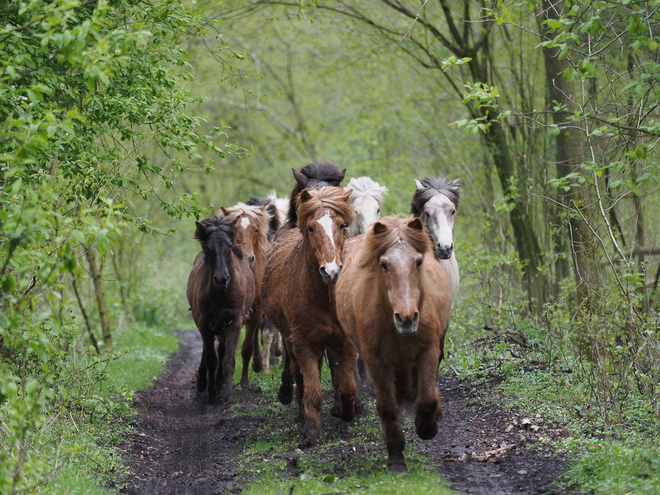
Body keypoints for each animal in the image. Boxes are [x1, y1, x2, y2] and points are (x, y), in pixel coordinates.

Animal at [188, 216, 258, 404]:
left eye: (229, 247)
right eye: (208, 248)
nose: (221, 279)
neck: (220, 293)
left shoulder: (234, 322)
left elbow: (228, 360)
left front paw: (228, 395)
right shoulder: (204, 323)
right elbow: (211, 359)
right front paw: (212, 393)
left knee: (222, 351)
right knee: (208, 351)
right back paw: (204, 382)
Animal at [220, 203, 272, 390]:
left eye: (256, 230)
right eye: (233, 230)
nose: (248, 258)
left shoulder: (256, 310)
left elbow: (247, 347)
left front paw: (244, 383)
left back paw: (257, 364)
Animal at [262, 185, 358, 446]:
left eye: (342, 226)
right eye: (312, 228)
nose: (331, 271)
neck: (324, 297)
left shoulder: (345, 342)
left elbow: (347, 387)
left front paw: (346, 412)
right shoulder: (303, 342)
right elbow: (313, 391)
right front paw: (312, 432)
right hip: (290, 339)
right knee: (298, 375)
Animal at [336, 217, 454, 472]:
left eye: (418, 261)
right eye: (384, 265)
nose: (407, 318)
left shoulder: (428, 351)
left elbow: (427, 397)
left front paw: (427, 427)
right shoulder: (376, 361)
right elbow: (388, 407)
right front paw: (396, 457)